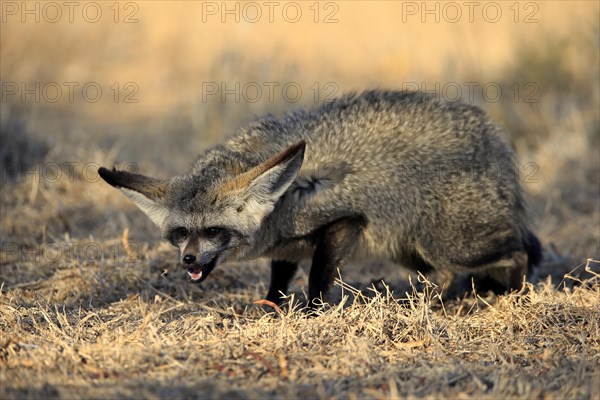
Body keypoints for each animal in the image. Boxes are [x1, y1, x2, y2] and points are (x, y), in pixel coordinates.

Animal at [99, 90, 544, 308]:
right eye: (180, 234)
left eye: (213, 231)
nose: (188, 260)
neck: (283, 202)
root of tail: (493, 137)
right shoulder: (288, 246)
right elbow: (279, 282)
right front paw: (271, 307)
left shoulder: (344, 221)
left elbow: (318, 277)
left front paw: (313, 313)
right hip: (416, 253)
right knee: (450, 276)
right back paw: (438, 301)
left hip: (449, 245)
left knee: (517, 251)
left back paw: (514, 294)